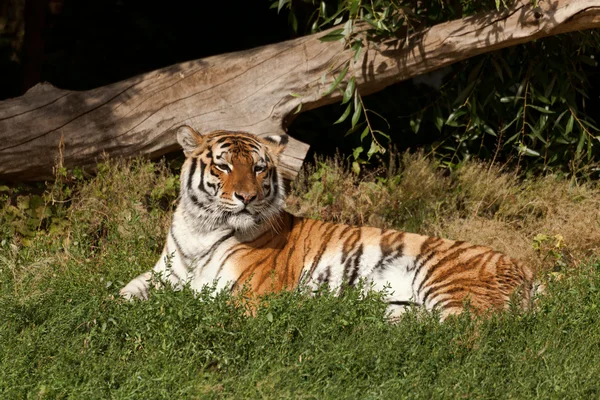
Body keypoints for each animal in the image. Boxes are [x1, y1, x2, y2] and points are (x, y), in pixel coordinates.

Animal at [119, 126, 536, 320]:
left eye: (258, 168)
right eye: (222, 166)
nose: (247, 197)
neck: (200, 228)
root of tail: (525, 267)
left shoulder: (248, 293)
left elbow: (199, 306)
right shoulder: (161, 274)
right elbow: (122, 294)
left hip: (450, 285)